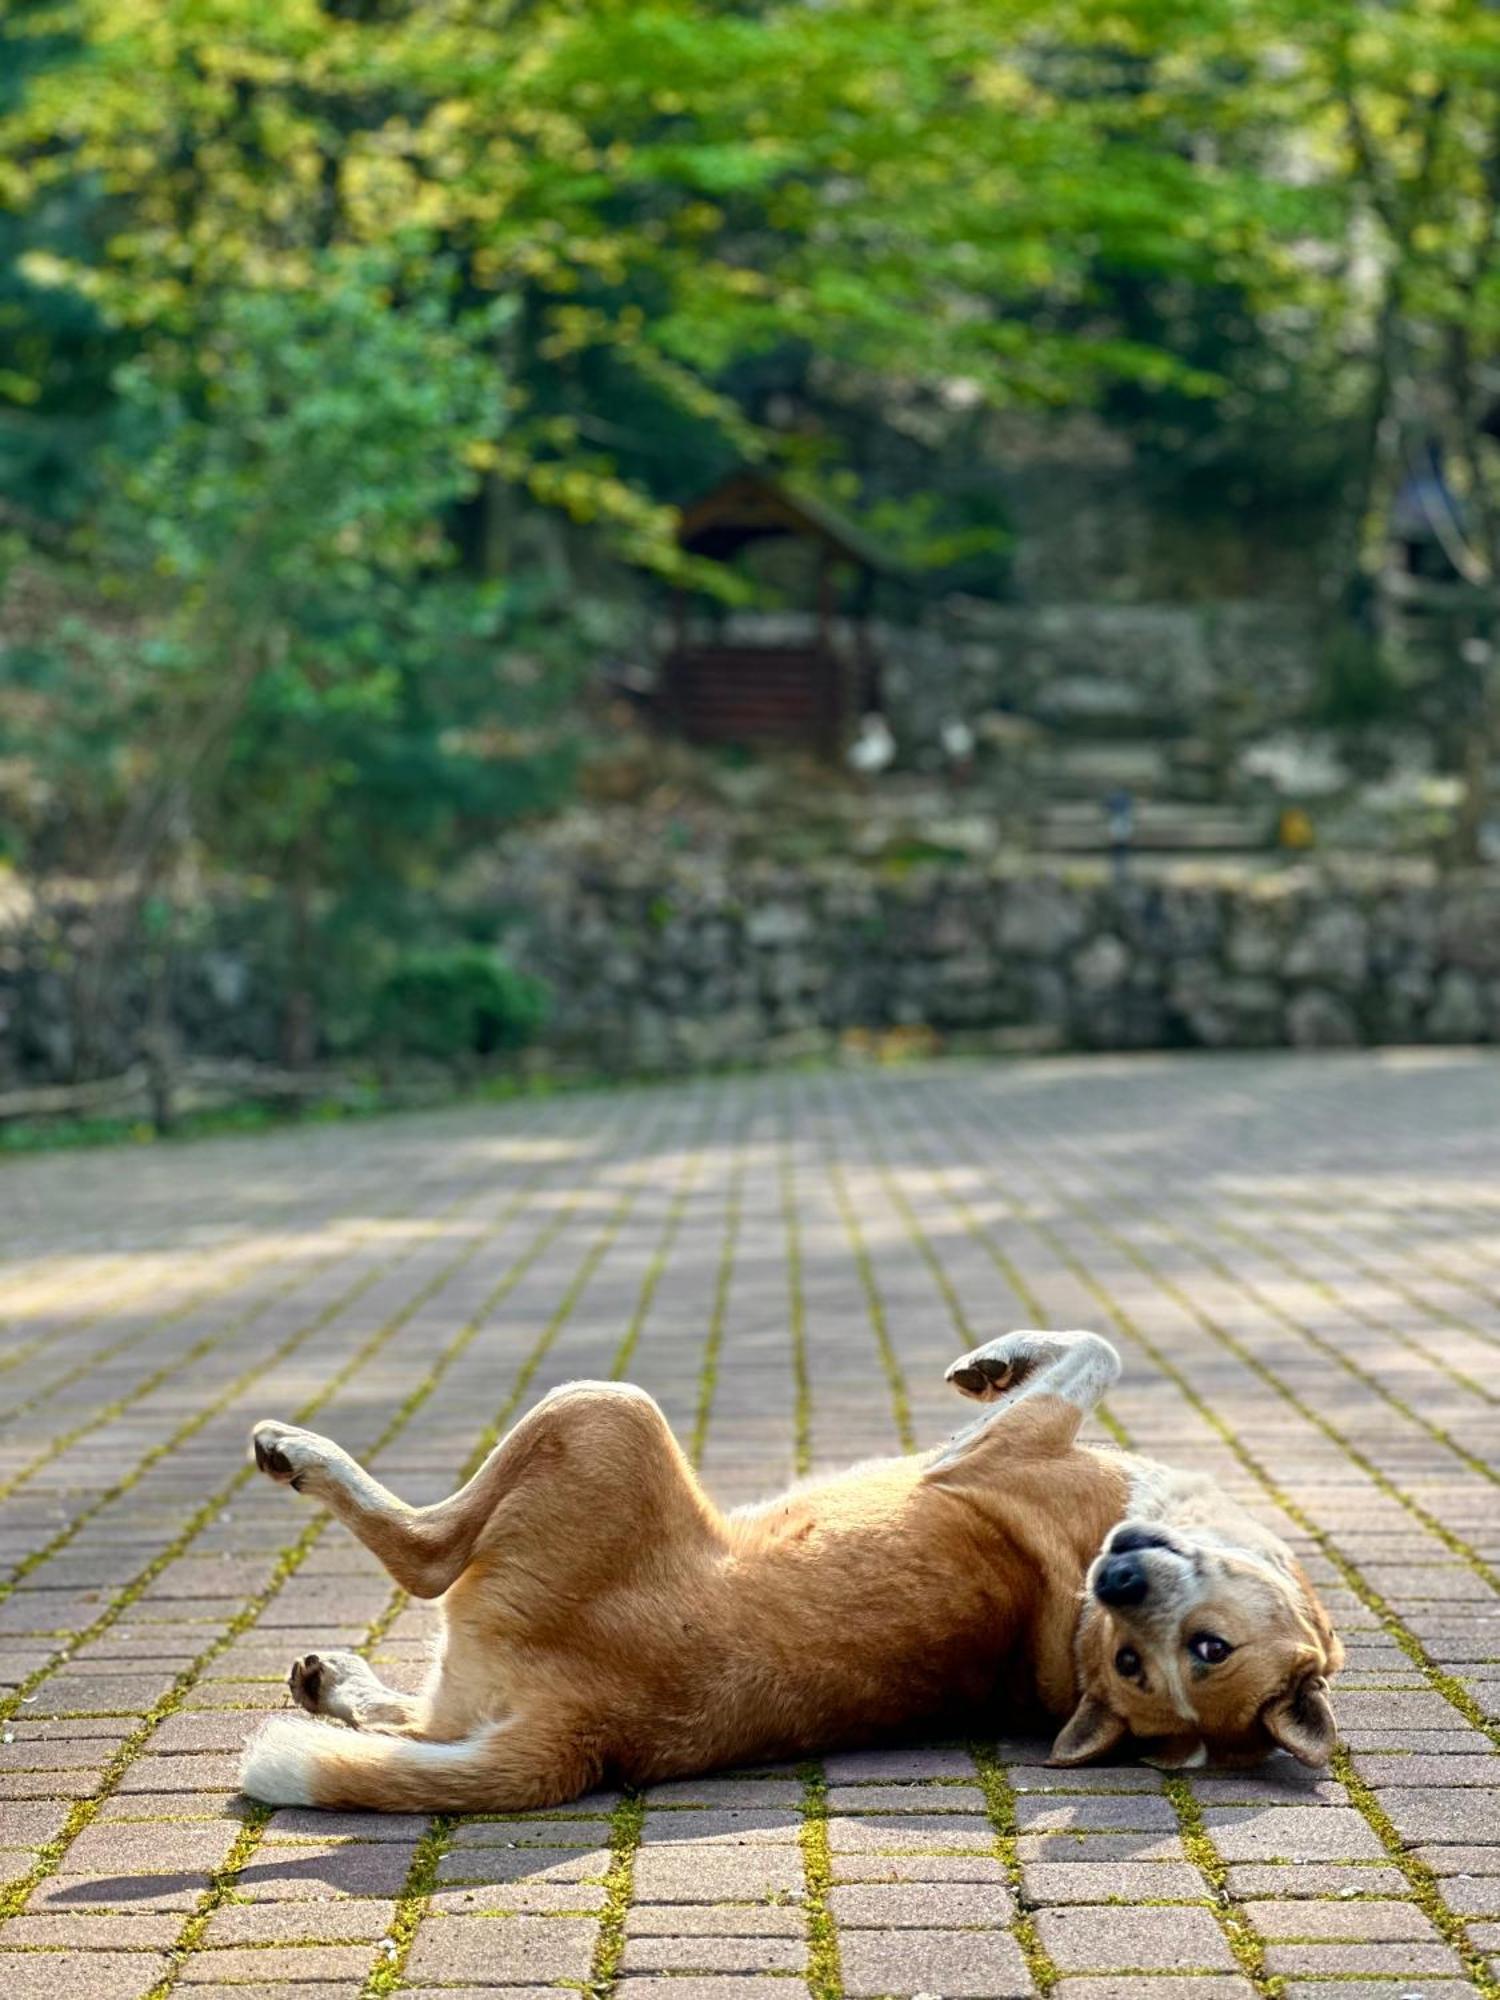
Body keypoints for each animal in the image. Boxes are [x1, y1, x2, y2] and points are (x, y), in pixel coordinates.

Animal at [241, 1328, 1344, 1816]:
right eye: (1131, 1661)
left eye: (1203, 1649)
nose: (1113, 1585)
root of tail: (594, 1727)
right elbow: (1084, 1354)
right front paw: (998, 1359)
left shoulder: (981, 1455)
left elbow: (1098, 1350)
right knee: (408, 1725)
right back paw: (336, 1685)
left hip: (604, 1411)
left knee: (423, 1556)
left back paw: (300, 1454)